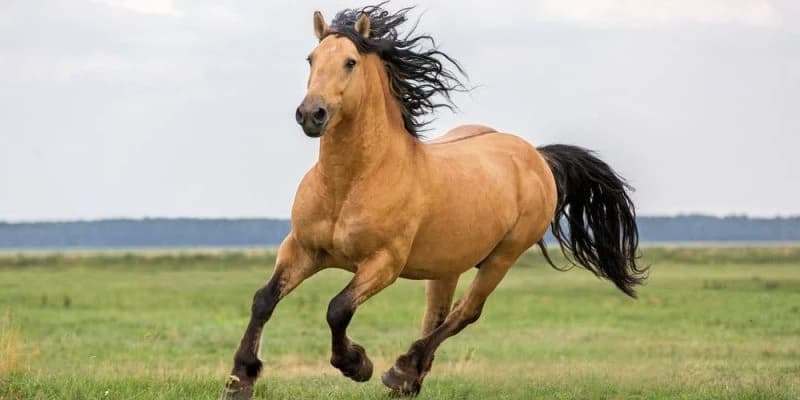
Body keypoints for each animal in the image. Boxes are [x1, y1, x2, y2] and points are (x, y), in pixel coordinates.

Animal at [220, 5, 646, 399]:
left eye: (350, 62)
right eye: (311, 59)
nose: (312, 114)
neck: (350, 182)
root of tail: (536, 157)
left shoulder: (383, 263)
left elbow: (337, 309)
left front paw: (357, 364)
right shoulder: (303, 249)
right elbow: (263, 300)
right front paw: (240, 379)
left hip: (502, 256)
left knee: (465, 313)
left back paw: (401, 371)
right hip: (447, 266)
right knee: (437, 315)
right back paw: (409, 379)